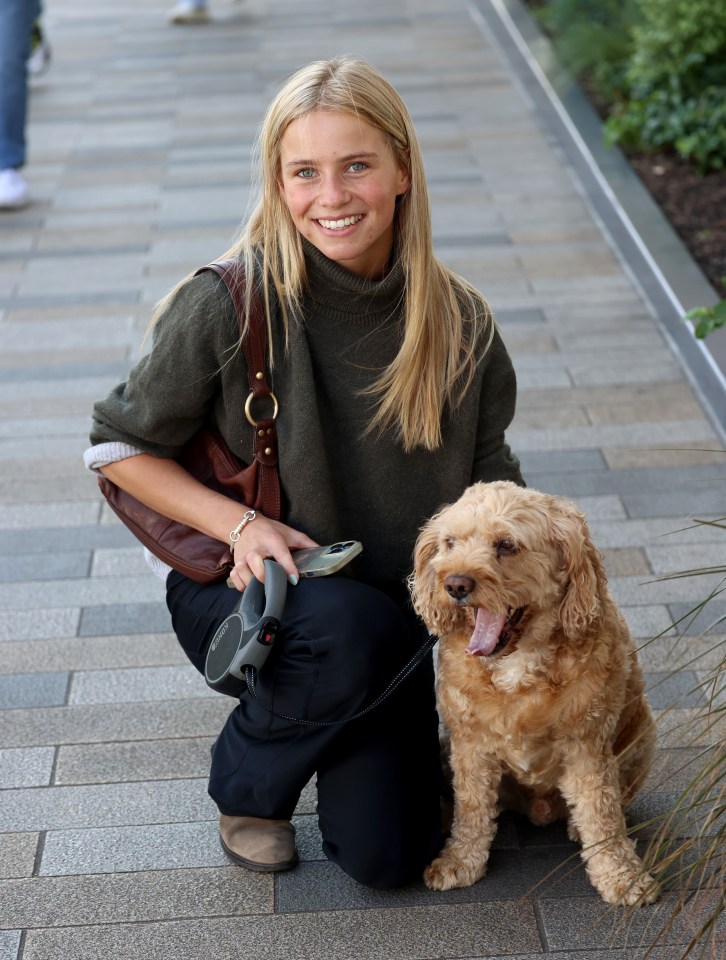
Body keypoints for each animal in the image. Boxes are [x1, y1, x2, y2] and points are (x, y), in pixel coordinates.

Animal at [412, 484, 664, 904]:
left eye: (506, 544)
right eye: (450, 543)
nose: (455, 585)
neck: (518, 664)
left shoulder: (587, 744)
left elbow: (601, 811)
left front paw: (621, 874)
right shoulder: (469, 744)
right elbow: (472, 807)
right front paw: (461, 860)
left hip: (643, 732)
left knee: (613, 799)